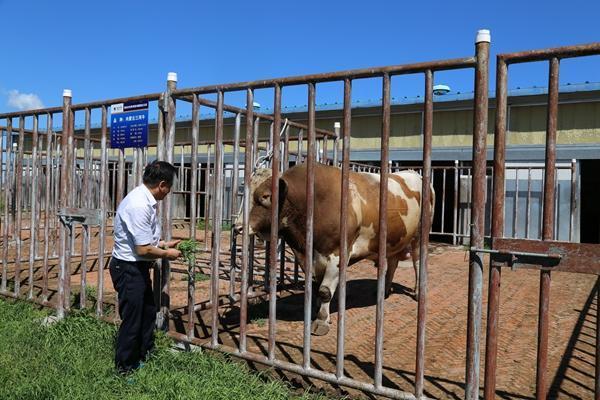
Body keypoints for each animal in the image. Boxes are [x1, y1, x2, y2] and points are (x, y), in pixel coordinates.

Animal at [232, 162, 434, 334]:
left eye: (265, 197)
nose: (237, 227)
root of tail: (413, 173)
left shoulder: (338, 253)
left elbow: (324, 291)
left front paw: (321, 321)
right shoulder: (310, 256)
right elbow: (316, 287)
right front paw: (316, 312)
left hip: (419, 235)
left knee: (417, 263)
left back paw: (417, 292)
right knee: (392, 262)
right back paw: (384, 290)